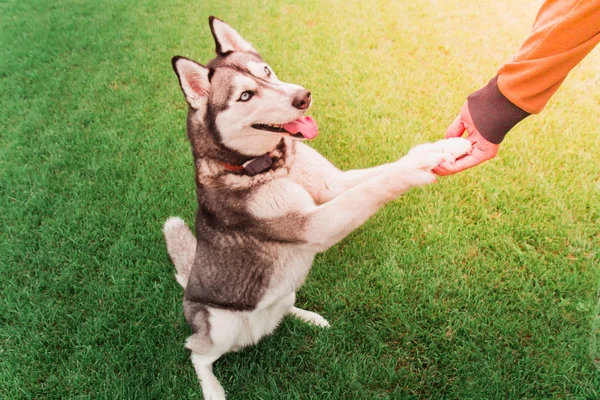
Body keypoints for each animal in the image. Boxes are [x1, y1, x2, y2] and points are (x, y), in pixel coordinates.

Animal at [165, 16, 474, 400]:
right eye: (246, 95)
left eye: (266, 71)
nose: (303, 96)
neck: (272, 163)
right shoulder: (313, 225)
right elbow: (376, 185)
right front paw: (420, 168)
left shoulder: (332, 186)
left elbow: (381, 172)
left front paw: (440, 148)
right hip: (220, 327)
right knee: (196, 352)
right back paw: (212, 388)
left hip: (286, 290)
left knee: (282, 308)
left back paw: (308, 317)